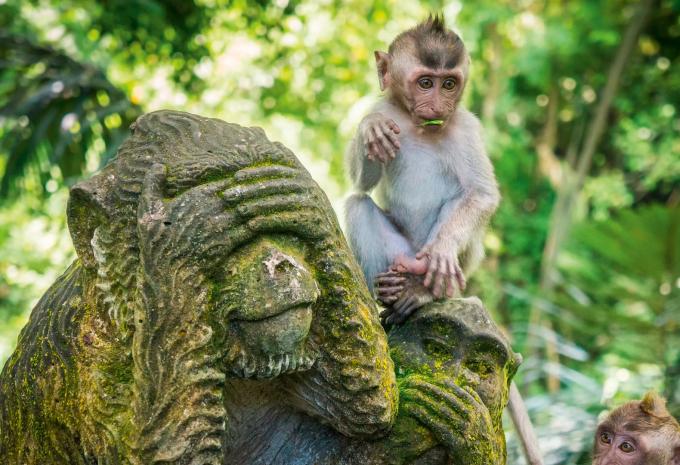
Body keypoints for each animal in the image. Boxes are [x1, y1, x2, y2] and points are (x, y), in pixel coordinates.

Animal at [344, 14, 500, 326]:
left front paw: (443, 249)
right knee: (356, 203)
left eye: (449, 84)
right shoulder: (382, 108)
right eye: (426, 83)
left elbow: (482, 193)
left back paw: (424, 291)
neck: (418, 126)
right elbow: (361, 183)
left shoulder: (466, 128)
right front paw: (370, 128)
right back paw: (387, 291)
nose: (439, 105)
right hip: (398, 252)